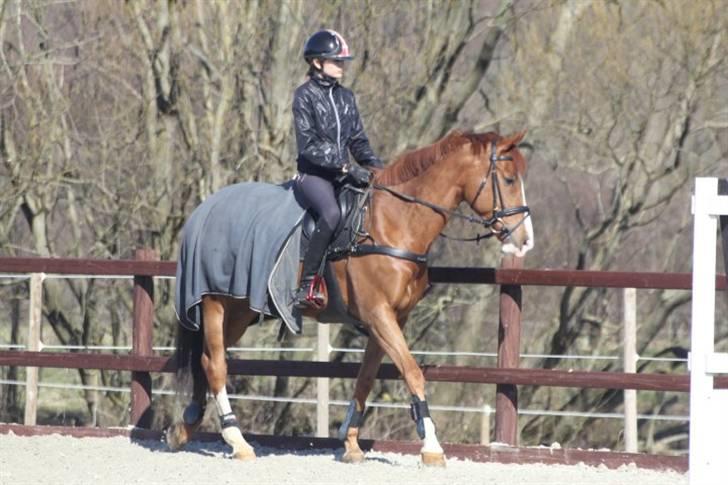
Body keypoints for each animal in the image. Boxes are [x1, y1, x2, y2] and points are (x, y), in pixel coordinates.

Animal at [166, 129, 536, 466]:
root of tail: (205, 209)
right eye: (508, 179)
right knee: (216, 364)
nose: (525, 240)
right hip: (214, 301)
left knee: (206, 360)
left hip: (240, 309)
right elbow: (412, 372)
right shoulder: (378, 314)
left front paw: (351, 443)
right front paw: (431, 447)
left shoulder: (390, 318)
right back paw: (237, 440)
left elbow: (366, 378)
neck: (395, 222)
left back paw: (184, 427)